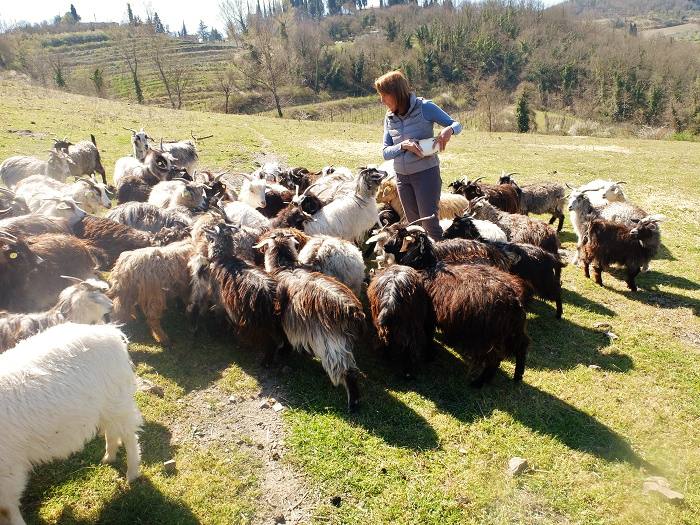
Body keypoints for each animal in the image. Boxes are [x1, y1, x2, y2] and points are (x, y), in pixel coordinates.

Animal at [0, 324, 142, 524]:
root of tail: (110, 332)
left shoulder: (7, 472)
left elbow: (7, 508)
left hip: (117, 401)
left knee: (130, 436)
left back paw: (132, 473)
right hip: (105, 407)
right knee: (112, 431)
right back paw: (109, 457)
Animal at [258, 232, 366, 410]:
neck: (284, 266)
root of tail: (351, 310)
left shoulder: (280, 320)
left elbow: (282, 338)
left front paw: (281, 352)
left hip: (330, 343)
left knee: (347, 371)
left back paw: (353, 404)